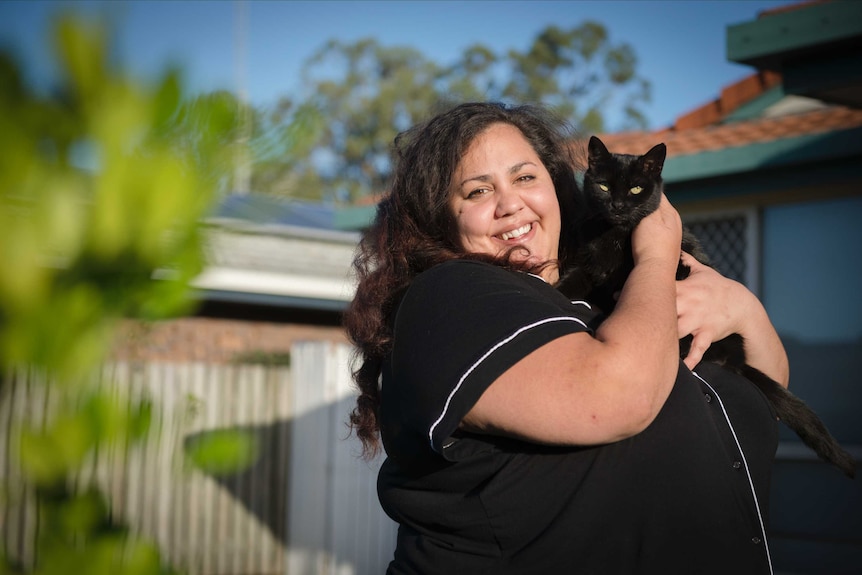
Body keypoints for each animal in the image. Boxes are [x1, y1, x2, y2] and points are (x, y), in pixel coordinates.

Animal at [560, 137, 856, 480]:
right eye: (604, 186)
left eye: (635, 189)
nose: (618, 206)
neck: (614, 237)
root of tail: (737, 360)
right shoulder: (588, 267)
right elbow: (571, 281)